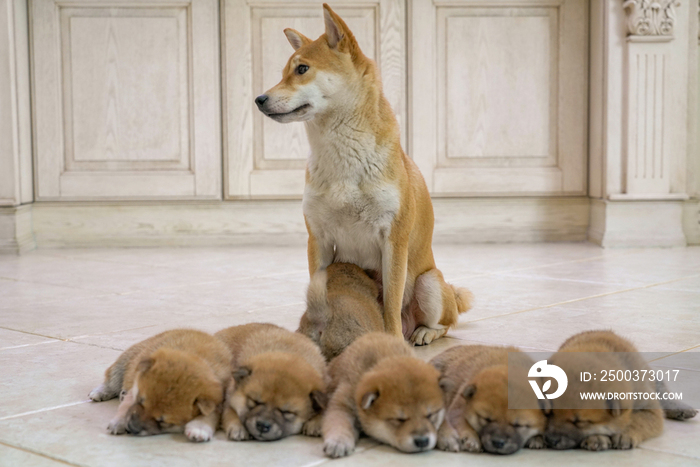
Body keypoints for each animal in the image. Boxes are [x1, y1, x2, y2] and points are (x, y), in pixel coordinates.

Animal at [88, 330, 232, 442]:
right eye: (140, 401)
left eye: (162, 421)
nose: (132, 428)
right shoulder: (134, 387)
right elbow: (126, 406)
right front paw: (119, 422)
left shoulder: (218, 402)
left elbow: (210, 416)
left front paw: (200, 428)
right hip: (124, 362)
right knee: (111, 380)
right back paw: (99, 392)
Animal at [548, 330, 696, 452]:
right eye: (549, 414)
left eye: (578, 422)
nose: (550, 440)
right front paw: (597, 437)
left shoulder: (650, 409)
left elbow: (637, 420)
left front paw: (624, 434)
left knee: (663, 392)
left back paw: (682, 409)